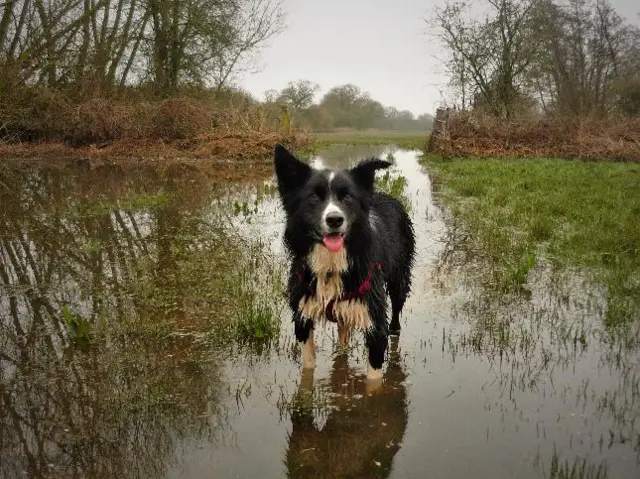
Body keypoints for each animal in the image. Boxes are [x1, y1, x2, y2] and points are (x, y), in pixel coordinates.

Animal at [274, 144, 416, 380]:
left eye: (347, 197)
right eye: (313, 197)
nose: (334, 220)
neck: (332, 264)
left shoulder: (375, 322)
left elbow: (374, 381)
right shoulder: (303, 315)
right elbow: (307, 368)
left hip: (400, 277)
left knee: (396, 311)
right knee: (343, 336)